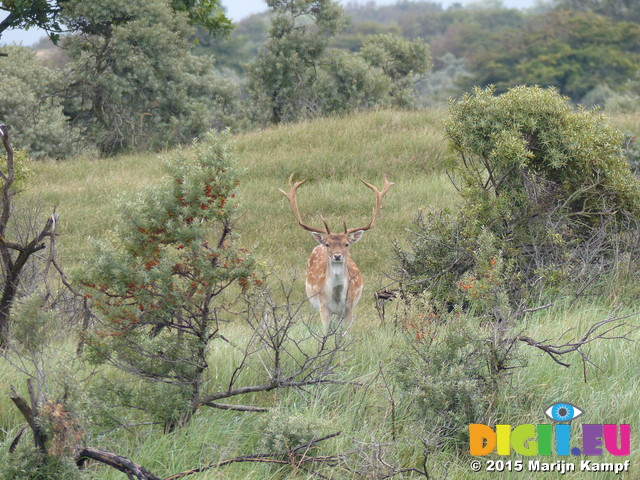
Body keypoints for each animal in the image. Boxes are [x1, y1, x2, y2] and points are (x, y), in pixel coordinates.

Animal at [282, 174, 396, 328]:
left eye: (346, 244)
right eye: (328, 244)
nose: (337, 256)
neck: (336, 297)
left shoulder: (349, 308)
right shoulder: (323, 307)